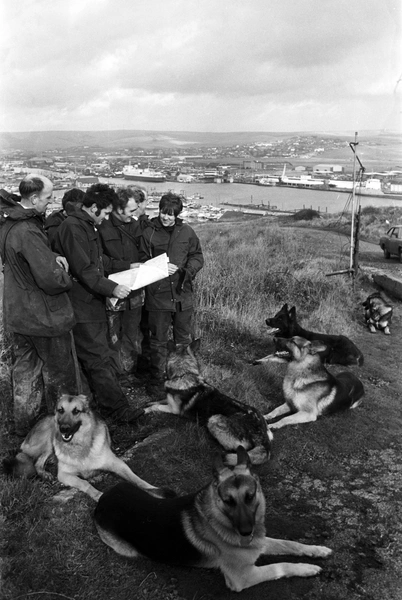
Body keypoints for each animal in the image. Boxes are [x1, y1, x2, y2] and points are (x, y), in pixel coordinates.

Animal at [3, 394, 173, 502]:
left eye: (76, 411)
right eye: (61, 410)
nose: (64, 429)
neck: (80, 445)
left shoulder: (118, 464)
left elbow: (137, 480)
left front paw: (154, 490)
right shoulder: (64, 474)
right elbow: (85, 483)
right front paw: (98, 494)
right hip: (50, 436)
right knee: (37, 462)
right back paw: (45, 474)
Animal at [93, 446, 330, 592]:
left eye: (250, 496)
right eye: (228, 501)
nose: (246, 532)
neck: (219, 519)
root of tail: (104, 497)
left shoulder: (260, 542)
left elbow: (290, 543)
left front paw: (317, 550)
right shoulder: (242, 577)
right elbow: (280, 566)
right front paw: (307, 568)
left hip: (148, 491)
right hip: (129, 550)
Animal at [144, 340, 274, 466]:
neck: (184, 374)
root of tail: (262, 438)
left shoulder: (174, 409)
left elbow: (156, 406)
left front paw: (146, 410)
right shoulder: (169, 401)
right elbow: (158, 400)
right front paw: (147, 404)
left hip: (214, 419)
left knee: (238, 448)